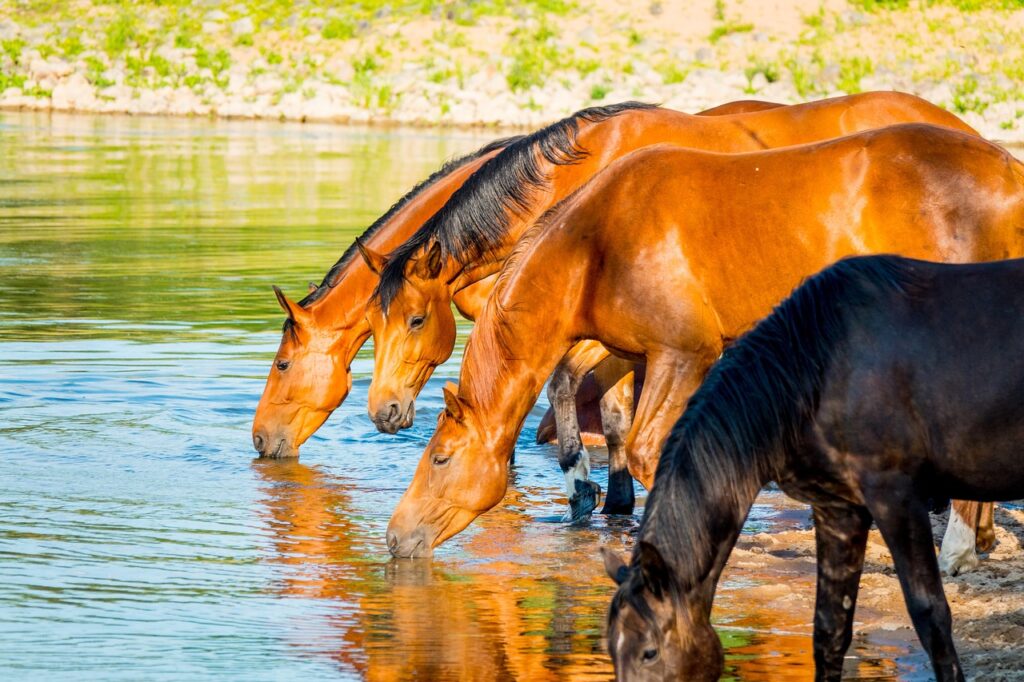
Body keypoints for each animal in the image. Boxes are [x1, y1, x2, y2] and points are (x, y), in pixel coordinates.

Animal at [385, 124, 1024, 565]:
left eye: (440, 458)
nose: (394, 537)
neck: (594, 246)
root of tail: (1006, 169)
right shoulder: (631, 354)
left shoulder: (685, 354)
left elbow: (653, 450)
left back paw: (958, 547)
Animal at [598, 254, 1024, 679]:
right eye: (612, 651)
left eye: (649, 652)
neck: (820, 365)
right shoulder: (838, 509)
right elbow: (830, 628)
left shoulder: (896, 498)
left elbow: (930, 614)